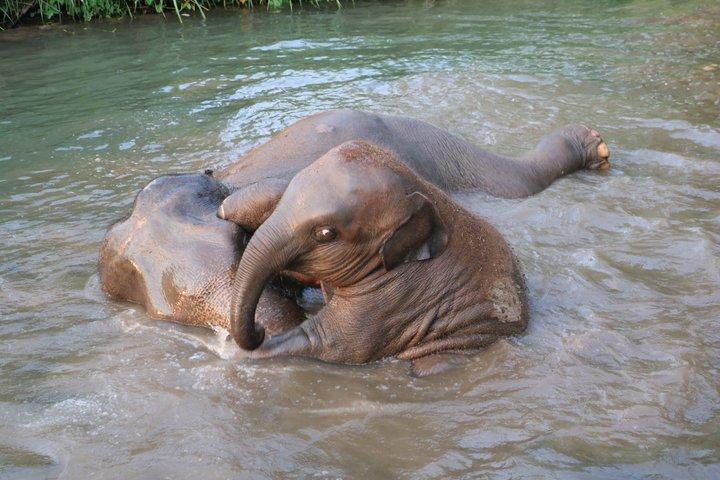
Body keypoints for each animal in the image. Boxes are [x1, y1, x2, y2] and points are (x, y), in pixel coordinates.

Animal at [222, 140, 530, 375]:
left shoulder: (398, 295)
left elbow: (333, 344)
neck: (420, 190)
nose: (260, 330)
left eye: (325, 233)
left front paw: (233, 352)